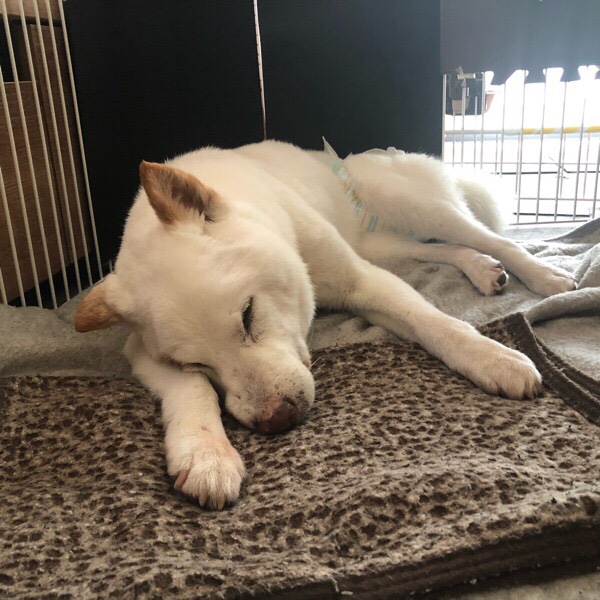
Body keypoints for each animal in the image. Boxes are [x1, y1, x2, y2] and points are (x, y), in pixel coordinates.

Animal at [74, 140, 577, 509]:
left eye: (248, 314)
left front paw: (494, 358)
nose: (276, 420)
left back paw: (543, 274)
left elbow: (434, 322)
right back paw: (483, 269)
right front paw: (205, 454)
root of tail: (351, 159)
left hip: (414, 204)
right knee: (443, 251)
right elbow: (189, 392)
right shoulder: (139, 353)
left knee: (487, 237)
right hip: (382, 246)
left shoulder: (361, 281)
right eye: (197, 362)